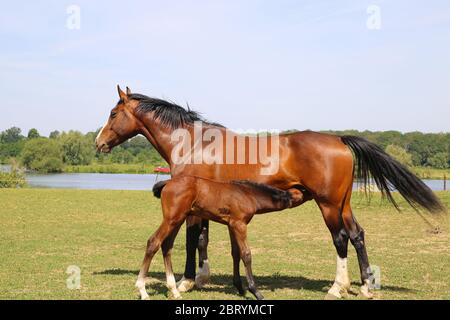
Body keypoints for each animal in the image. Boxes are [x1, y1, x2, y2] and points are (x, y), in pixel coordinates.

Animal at [134, 175, 302, 300]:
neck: (248, 194)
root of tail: (168, 182)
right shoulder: (239, 224)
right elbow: (246, 254)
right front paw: (255, 291)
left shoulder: (232, 225)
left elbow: (236, 253)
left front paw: (240, 288)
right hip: (171, 219)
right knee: (154, 242)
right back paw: (143, 290)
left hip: (178, 219)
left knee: (166, 245)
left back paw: (174, 291)